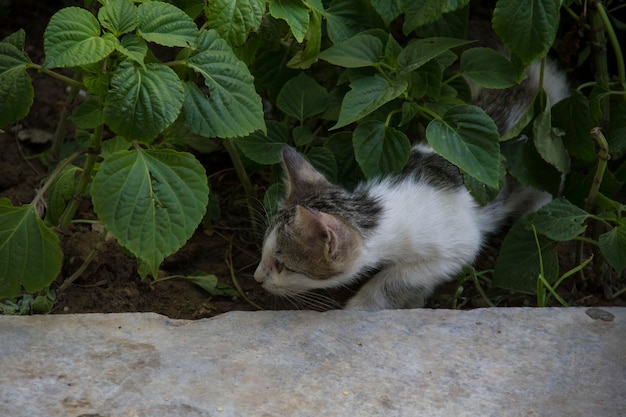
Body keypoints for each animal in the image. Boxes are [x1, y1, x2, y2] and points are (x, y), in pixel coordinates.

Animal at [252, 60, 564, 310]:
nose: (256, 278)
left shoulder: (457, 247)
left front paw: (362, 305)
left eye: (282, 265)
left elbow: (399, 278)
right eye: (264, 250)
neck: (381, 209)